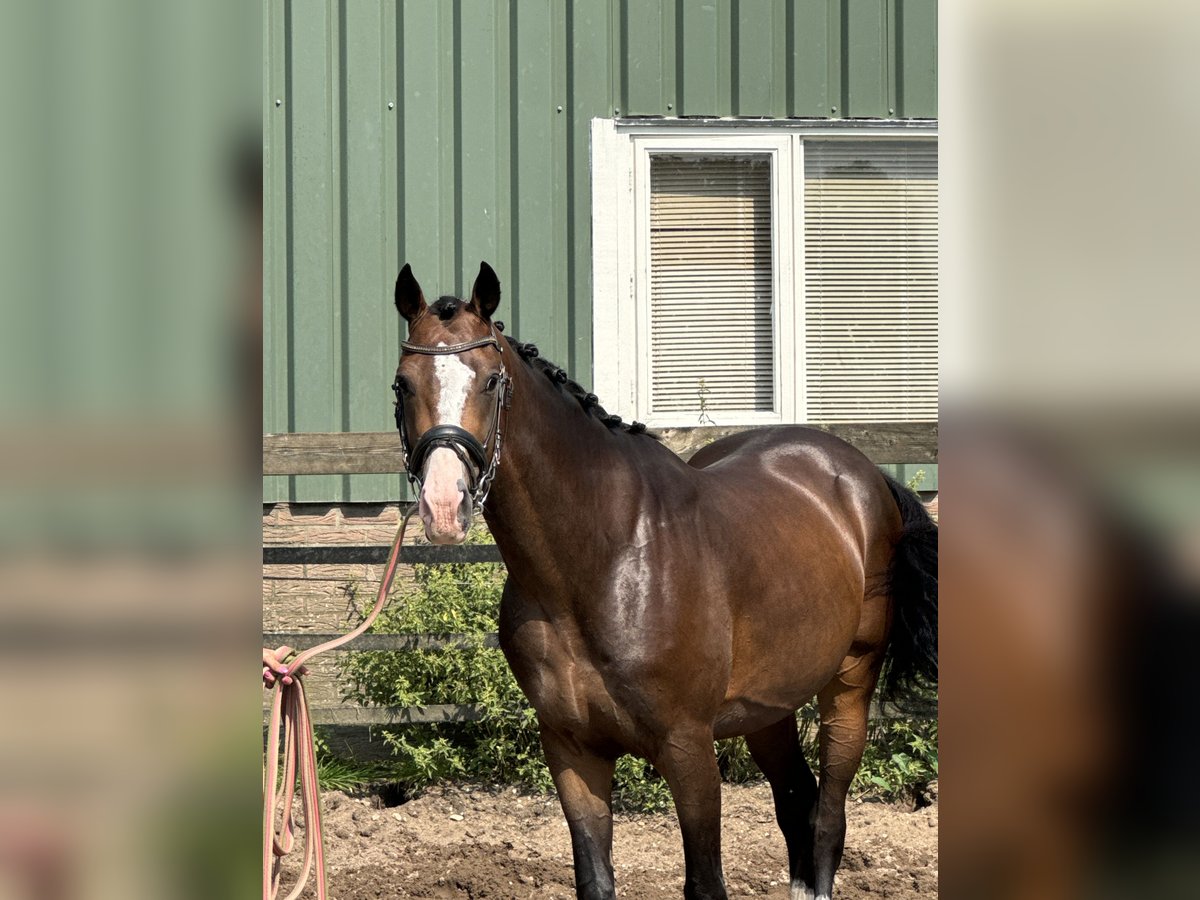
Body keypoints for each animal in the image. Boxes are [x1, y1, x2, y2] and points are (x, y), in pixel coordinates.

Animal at [391, 262, 936, 900]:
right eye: (403, 384)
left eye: (491, 380)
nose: (443, 506)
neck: (601, 561)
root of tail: (862, 474)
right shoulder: (572, 750)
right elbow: (595, 879)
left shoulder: (688, 747)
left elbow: (705, 882)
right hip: (768, 708)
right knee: (798, 802)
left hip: (849, 686)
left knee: (828, 817)